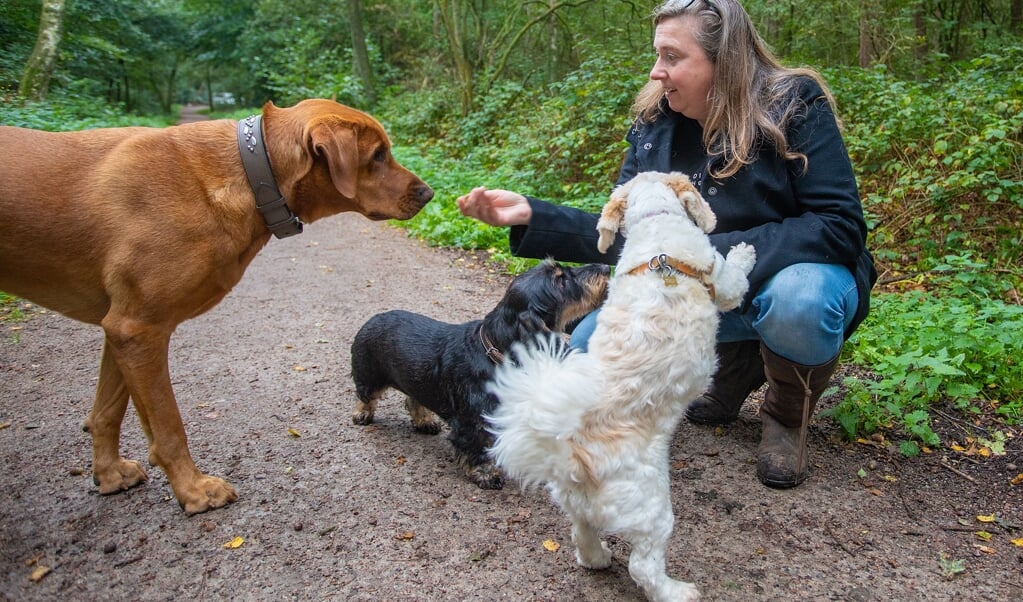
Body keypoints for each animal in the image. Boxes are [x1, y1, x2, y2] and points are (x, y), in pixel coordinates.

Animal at [0, 97, 433, 511]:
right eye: (378, 154)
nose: (428, 193)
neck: (251, 171)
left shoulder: (121, 328)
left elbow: (106, 412)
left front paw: (108, 474)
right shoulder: (139, 329)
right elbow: (168, 427)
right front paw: (193, 490)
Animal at [351, 260, 605, 489]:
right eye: (560, 281)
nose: (604, 267)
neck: (494, 350)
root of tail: (373, 318)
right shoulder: (471, 422)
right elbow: (477, 448)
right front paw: (486, 474)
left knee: (413, 399)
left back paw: (424, 421)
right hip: (369, 375)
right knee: (365, 396)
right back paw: (362, 414)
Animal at [482, 170, 757, 602]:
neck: (655, 227)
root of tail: (573, 458)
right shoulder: (722, 280)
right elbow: (735, 274)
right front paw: (745, 251)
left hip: (579, 507)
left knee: (582, 534)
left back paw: (596, 559)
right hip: (652, 510)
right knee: (643, 567)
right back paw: (676, 591)